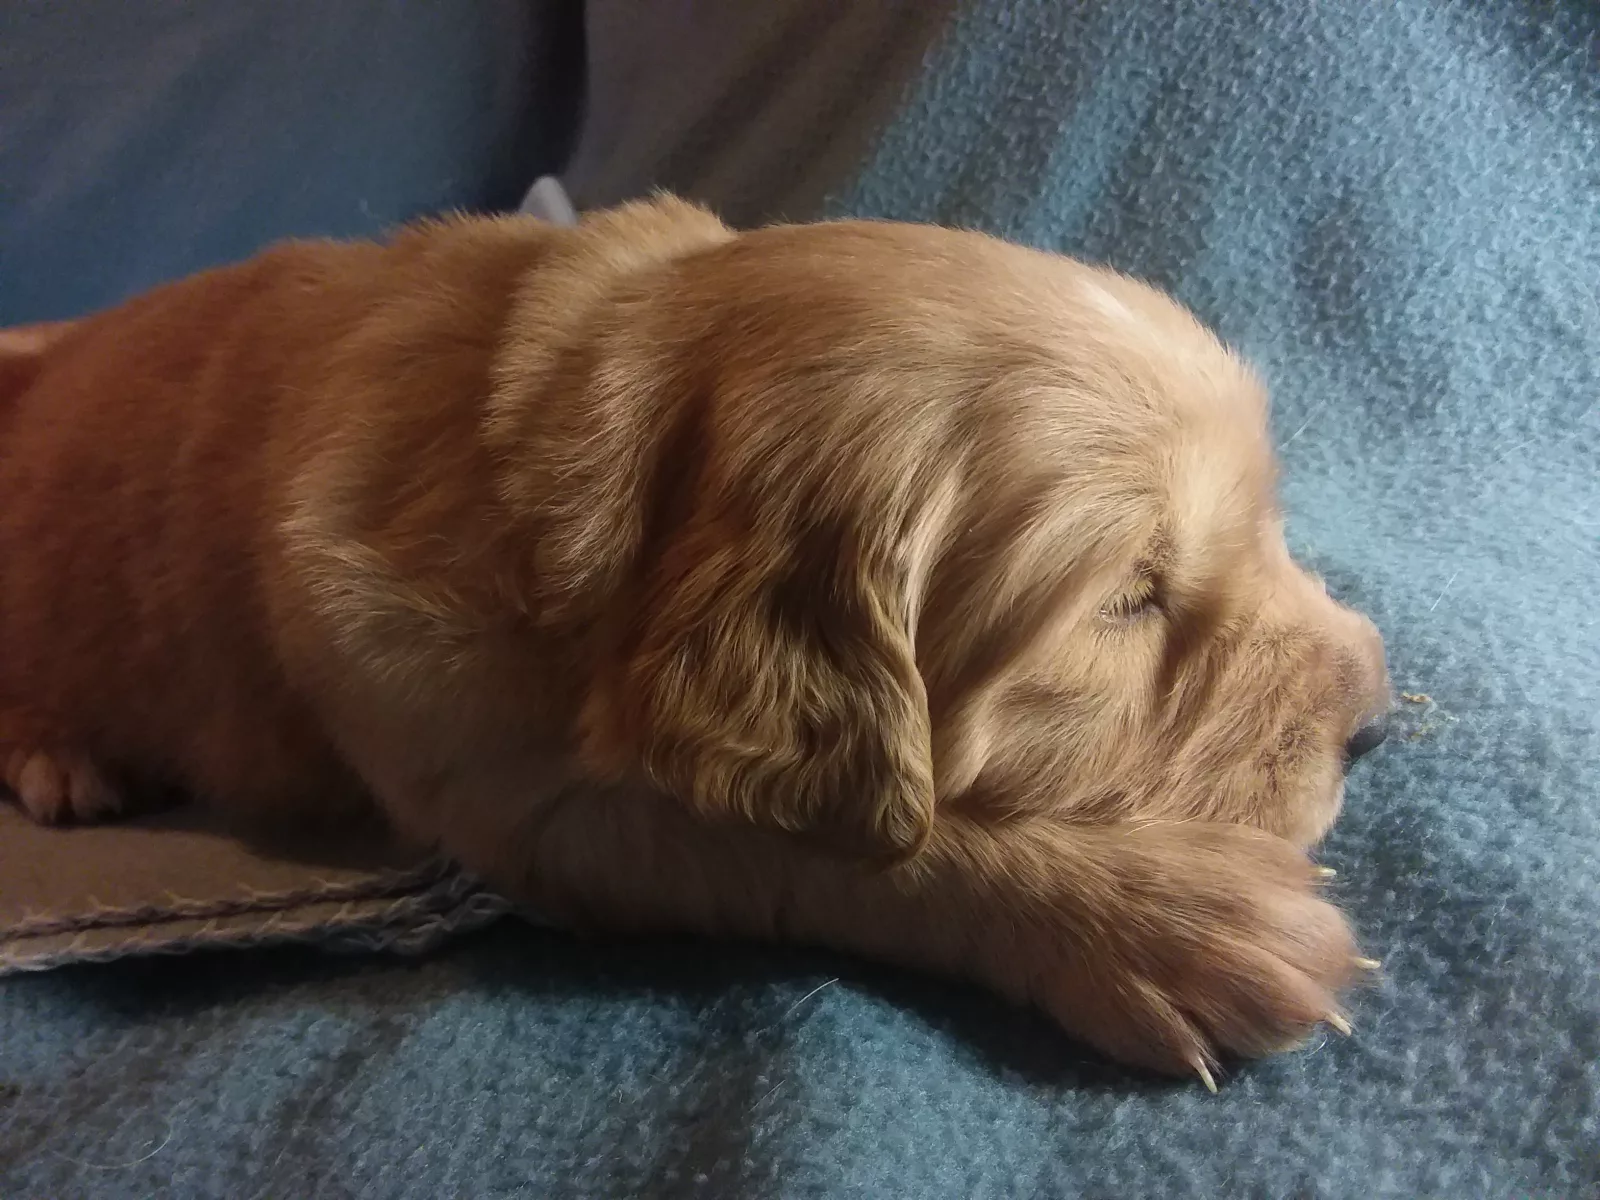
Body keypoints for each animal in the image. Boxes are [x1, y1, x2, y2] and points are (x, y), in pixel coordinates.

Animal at [0, 197, 1389, 1086]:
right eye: (1128, 602)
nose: (1374, 720)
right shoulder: (521, 796)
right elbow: (848, 852)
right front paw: (1172, 924)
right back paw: (66, 761)